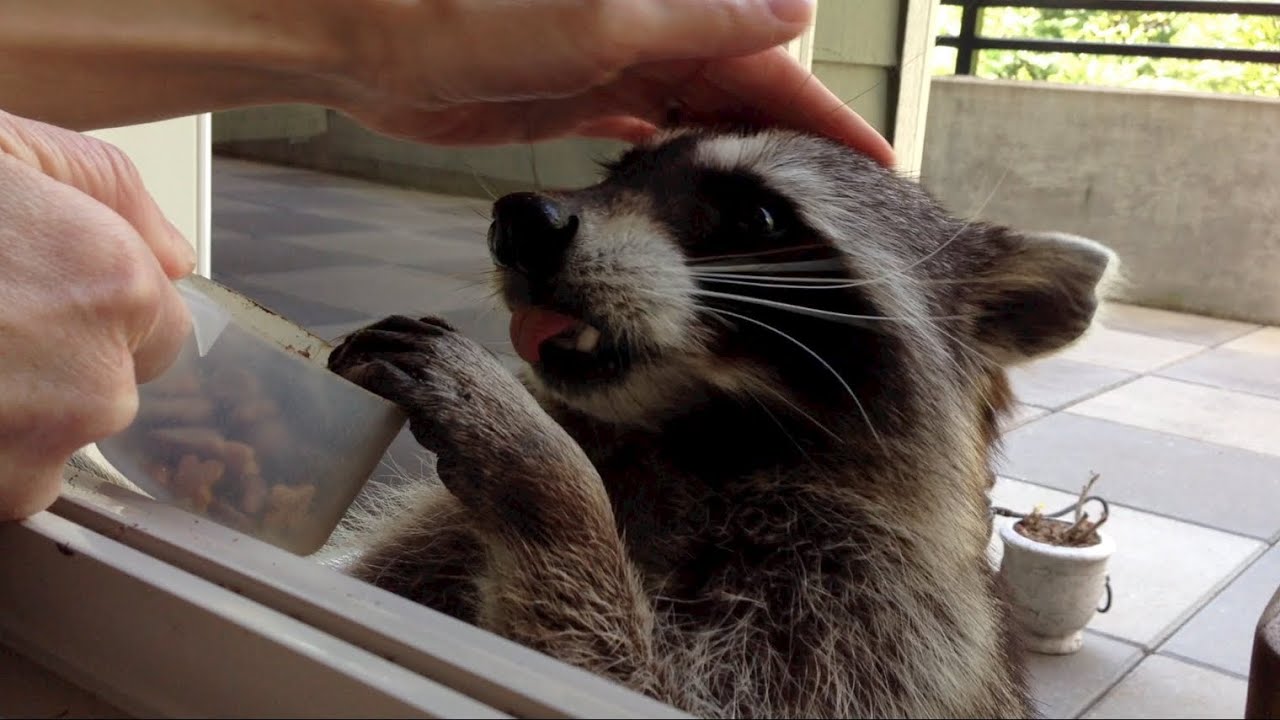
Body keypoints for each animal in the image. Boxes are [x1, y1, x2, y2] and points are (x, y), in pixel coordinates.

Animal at [325, 127, 1117, 719]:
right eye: (617, 173)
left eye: (756, 217)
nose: (522, 222)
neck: (676, 435)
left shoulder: (879, 618)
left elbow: (635, 681)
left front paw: (547, 478)